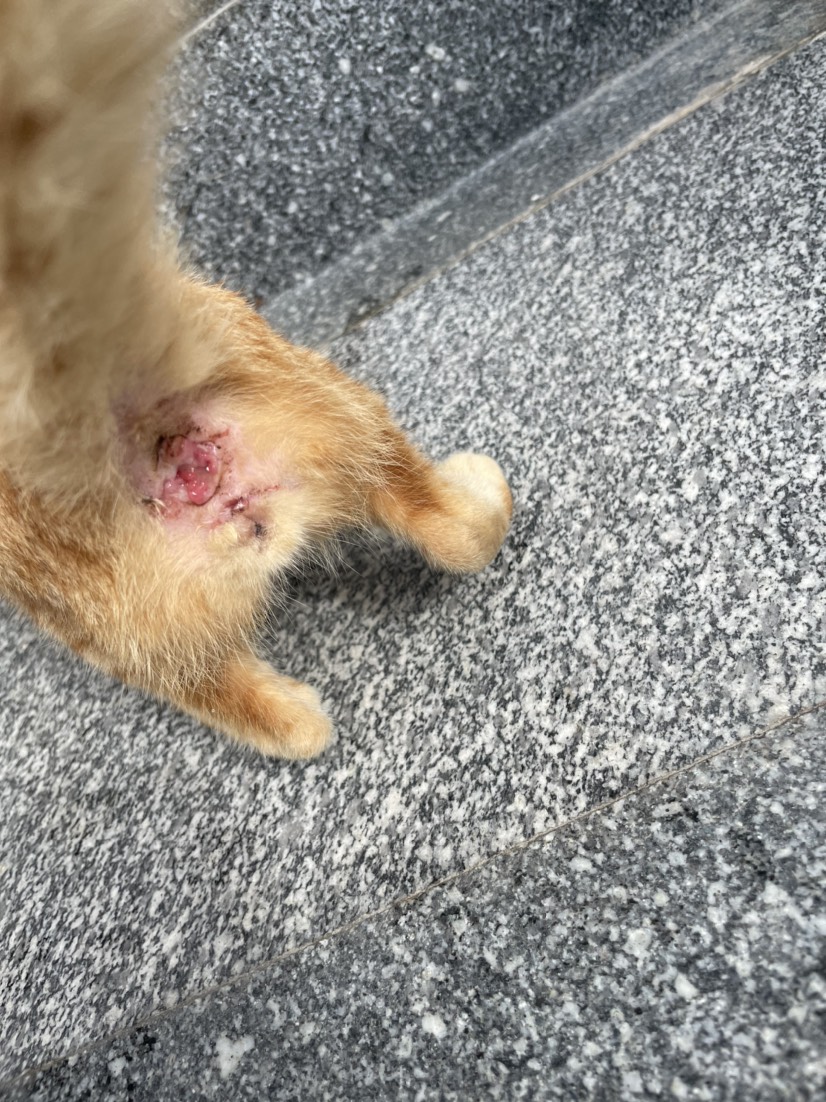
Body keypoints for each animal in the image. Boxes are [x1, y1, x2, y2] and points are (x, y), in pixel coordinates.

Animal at [0, 0, 512, 758]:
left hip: (131, 623)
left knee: (228, 697)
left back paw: (296, 719)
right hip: (333, 412)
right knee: (455, 523)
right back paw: (484, 484)